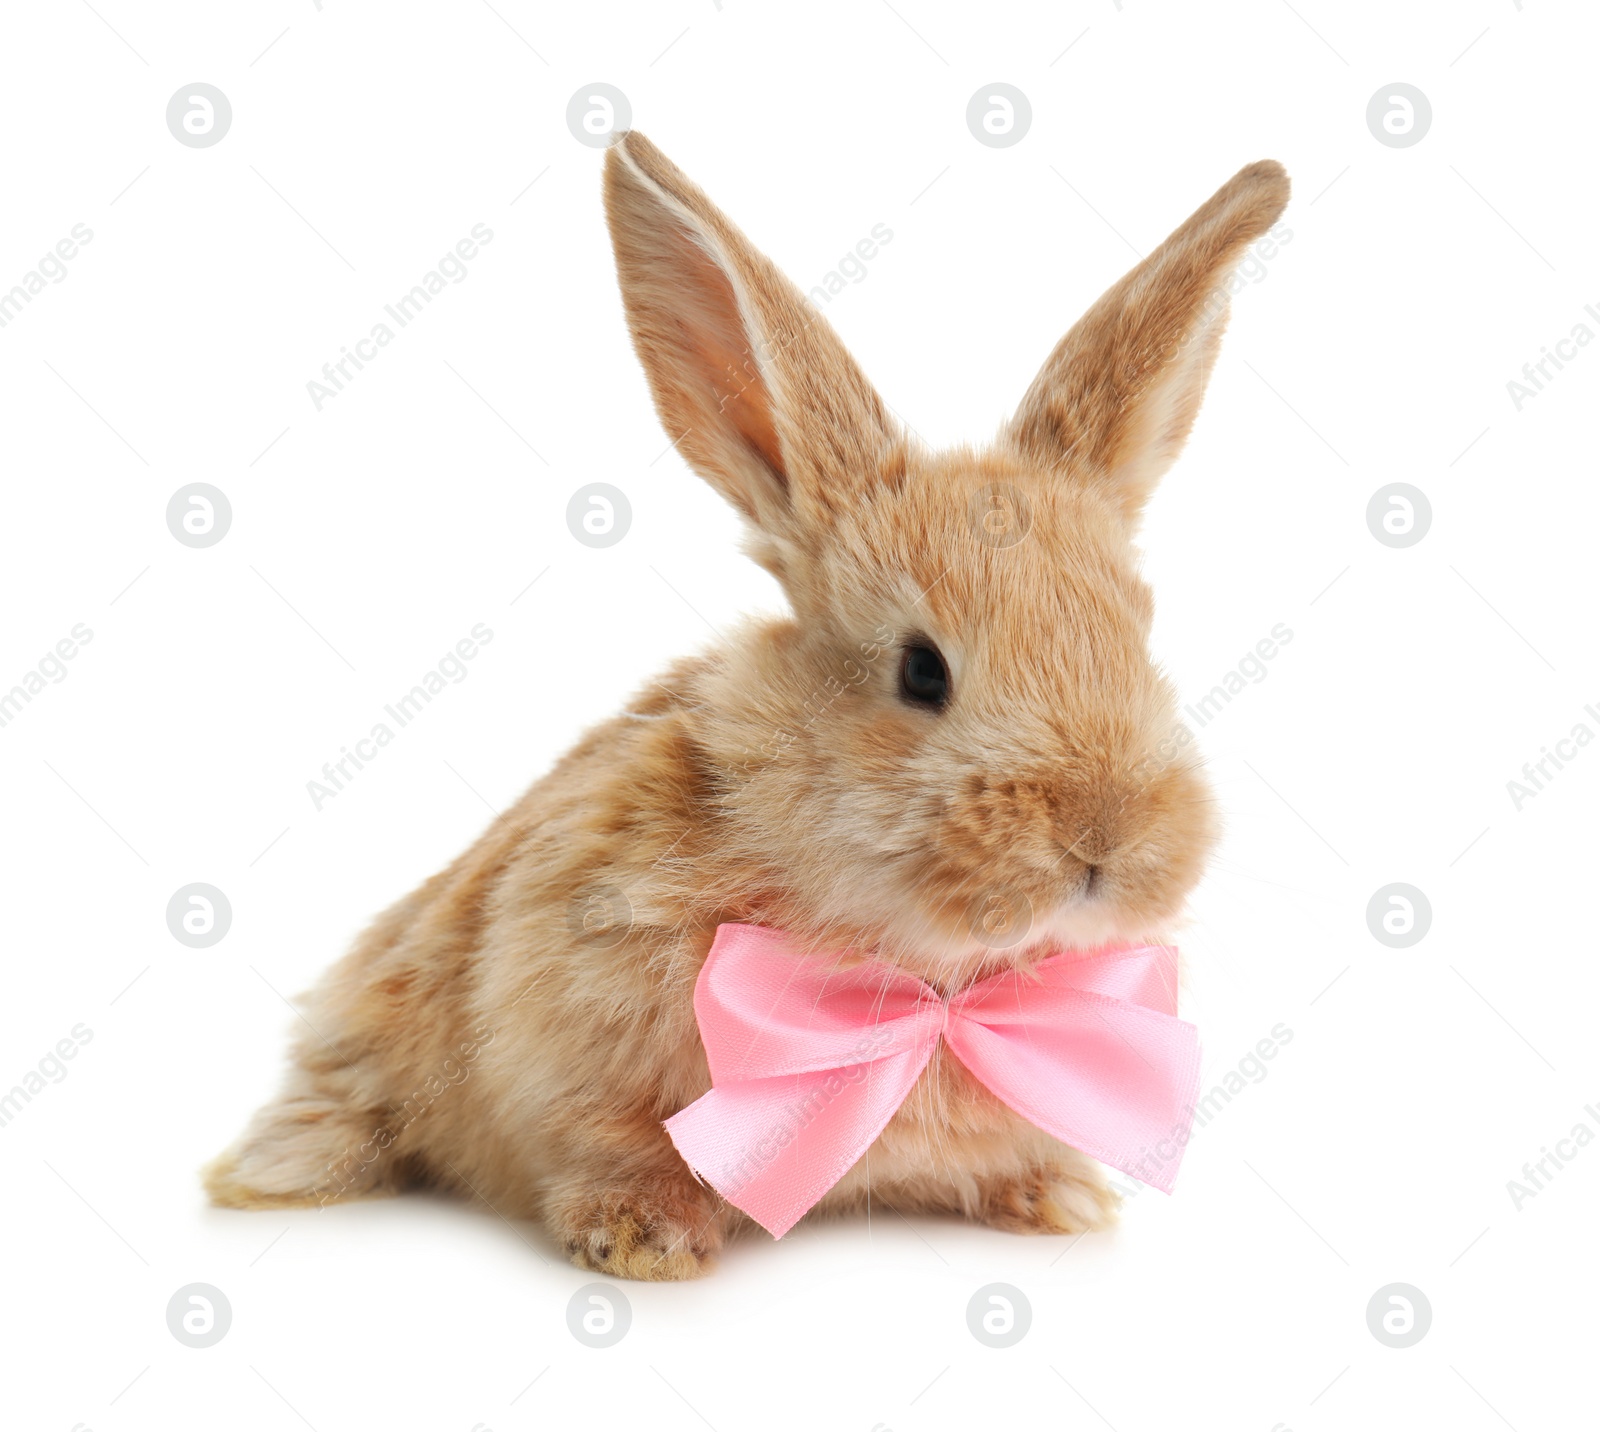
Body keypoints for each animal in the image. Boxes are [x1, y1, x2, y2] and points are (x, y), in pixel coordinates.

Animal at [209, 131, 1286, 1280]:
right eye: (921, 671)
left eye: (1141, 634)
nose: (1106, 838)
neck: (925, 977)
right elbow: (604, 1141)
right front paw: (642, 1240)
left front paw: (1060, 1199)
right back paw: (271, 1167)